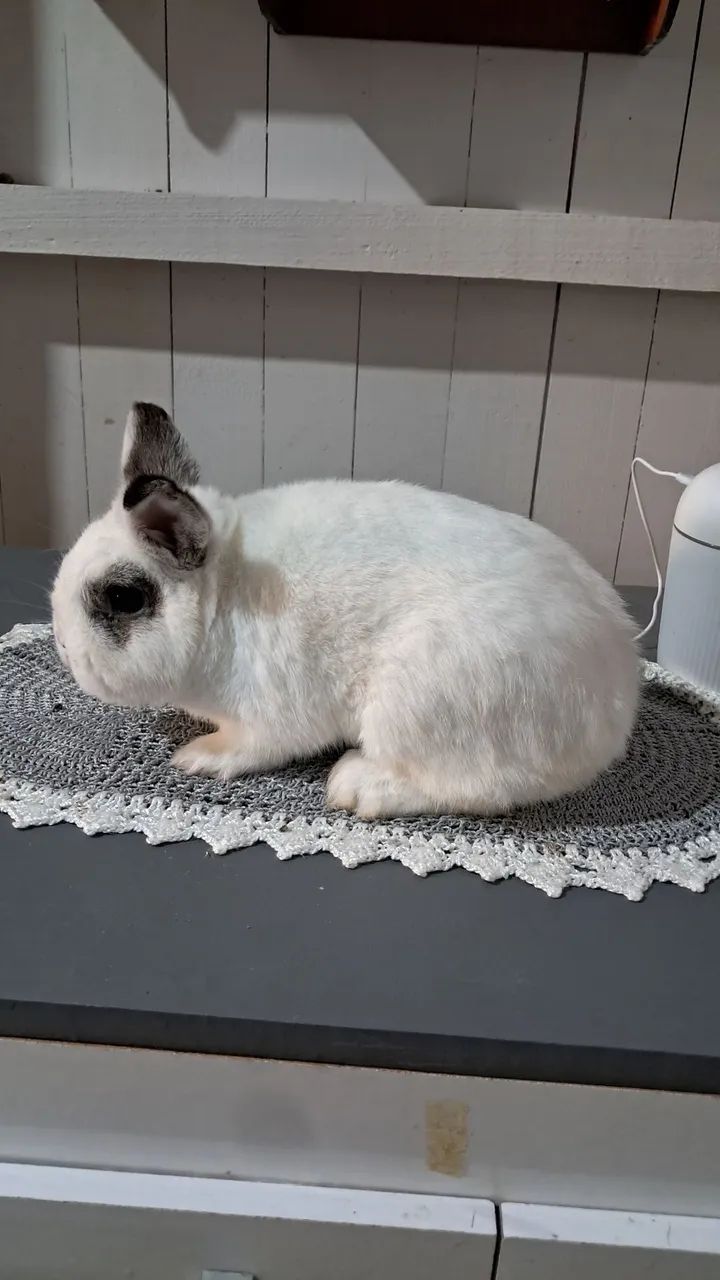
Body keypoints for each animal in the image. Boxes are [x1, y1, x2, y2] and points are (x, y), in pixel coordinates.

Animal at [51, 402, 639, 820]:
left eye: (125, 598)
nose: (63, 650)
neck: (227, 591)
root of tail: (615, 706)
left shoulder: (270, 713)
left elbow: (252, 746)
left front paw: (198, 756)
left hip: (423, 704)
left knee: (476, 789)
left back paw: (355, 786)